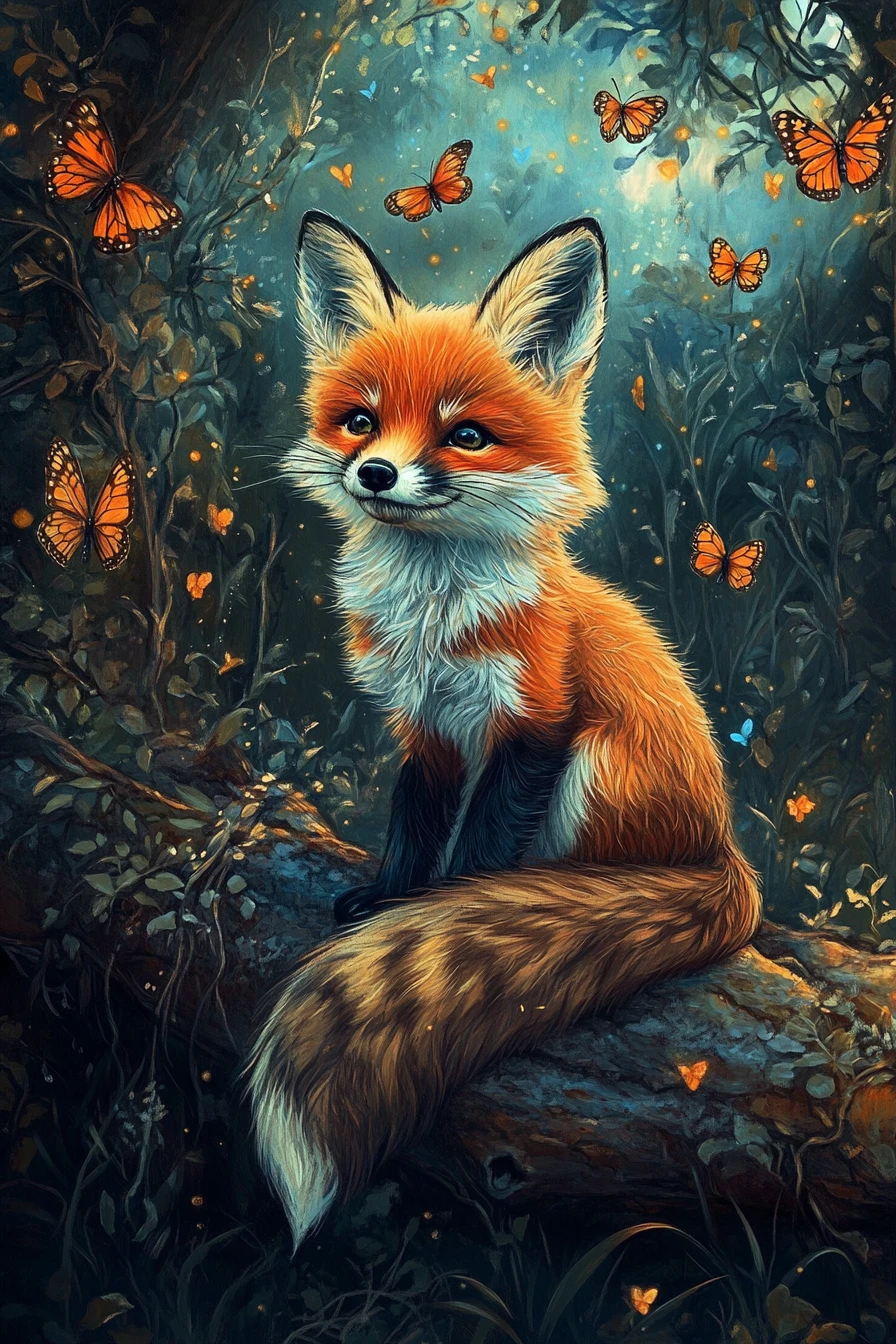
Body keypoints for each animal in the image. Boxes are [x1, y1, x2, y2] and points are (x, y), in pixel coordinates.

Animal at [247, 210, 762, 1249]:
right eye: (360, 420)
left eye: (467, 435)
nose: (374, 472)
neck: (437, 618)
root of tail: (724, 851)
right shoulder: (429, 726)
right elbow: (414, 820)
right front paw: (394, 896)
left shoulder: (536, 720)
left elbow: (481, 849)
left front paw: (455, 907)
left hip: (598, 772)